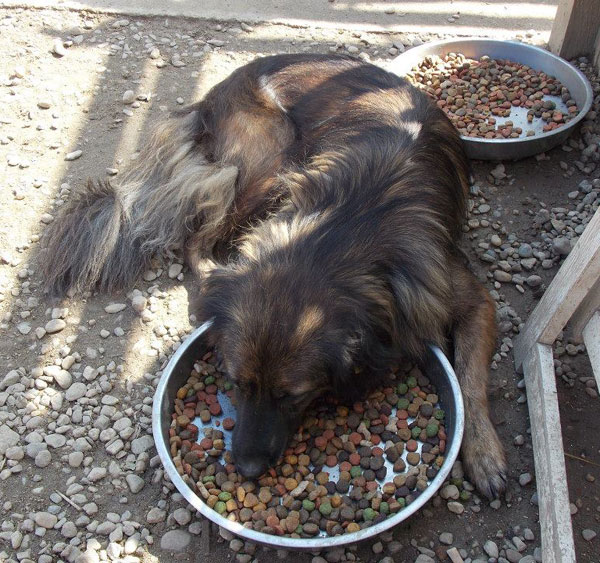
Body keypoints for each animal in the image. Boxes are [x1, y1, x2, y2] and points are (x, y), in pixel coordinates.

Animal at [39, 54, 504, 498]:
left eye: (292, 396)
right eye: (236, 382)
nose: (246, 470)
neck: (344, 229)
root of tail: (212, 96)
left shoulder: (465, 298)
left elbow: (470, 378)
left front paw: (484, 453)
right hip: (270, 158)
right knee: (196, 238)